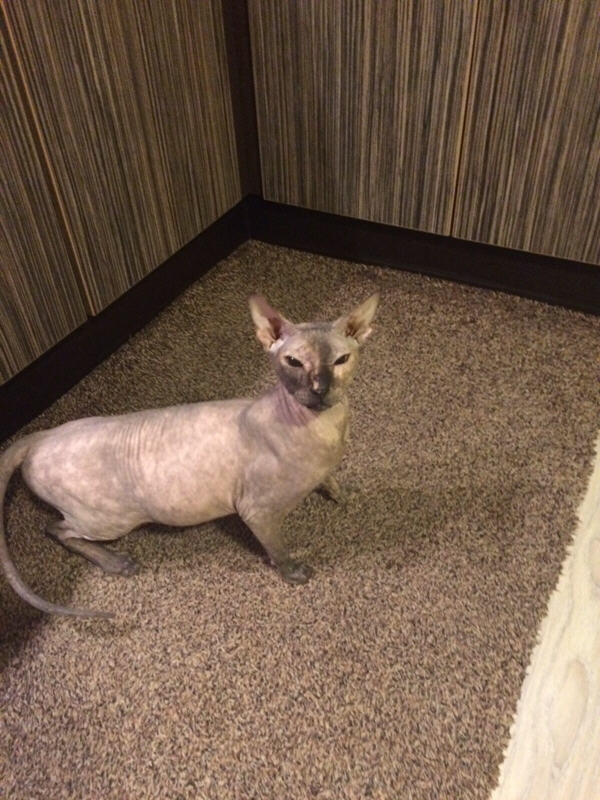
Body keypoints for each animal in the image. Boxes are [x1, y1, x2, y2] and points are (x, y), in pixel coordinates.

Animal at [0, 293, 379, 618]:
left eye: (341, 360)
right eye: (294, 362)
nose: (319, 390)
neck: (325, 430)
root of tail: (41, 435)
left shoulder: (325, 464)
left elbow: (331, 480)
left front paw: (344, 494)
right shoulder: (256, 511)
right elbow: (278, 548)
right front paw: (291, 572)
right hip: (110, 519)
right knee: (57, 529)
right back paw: (115, 562)